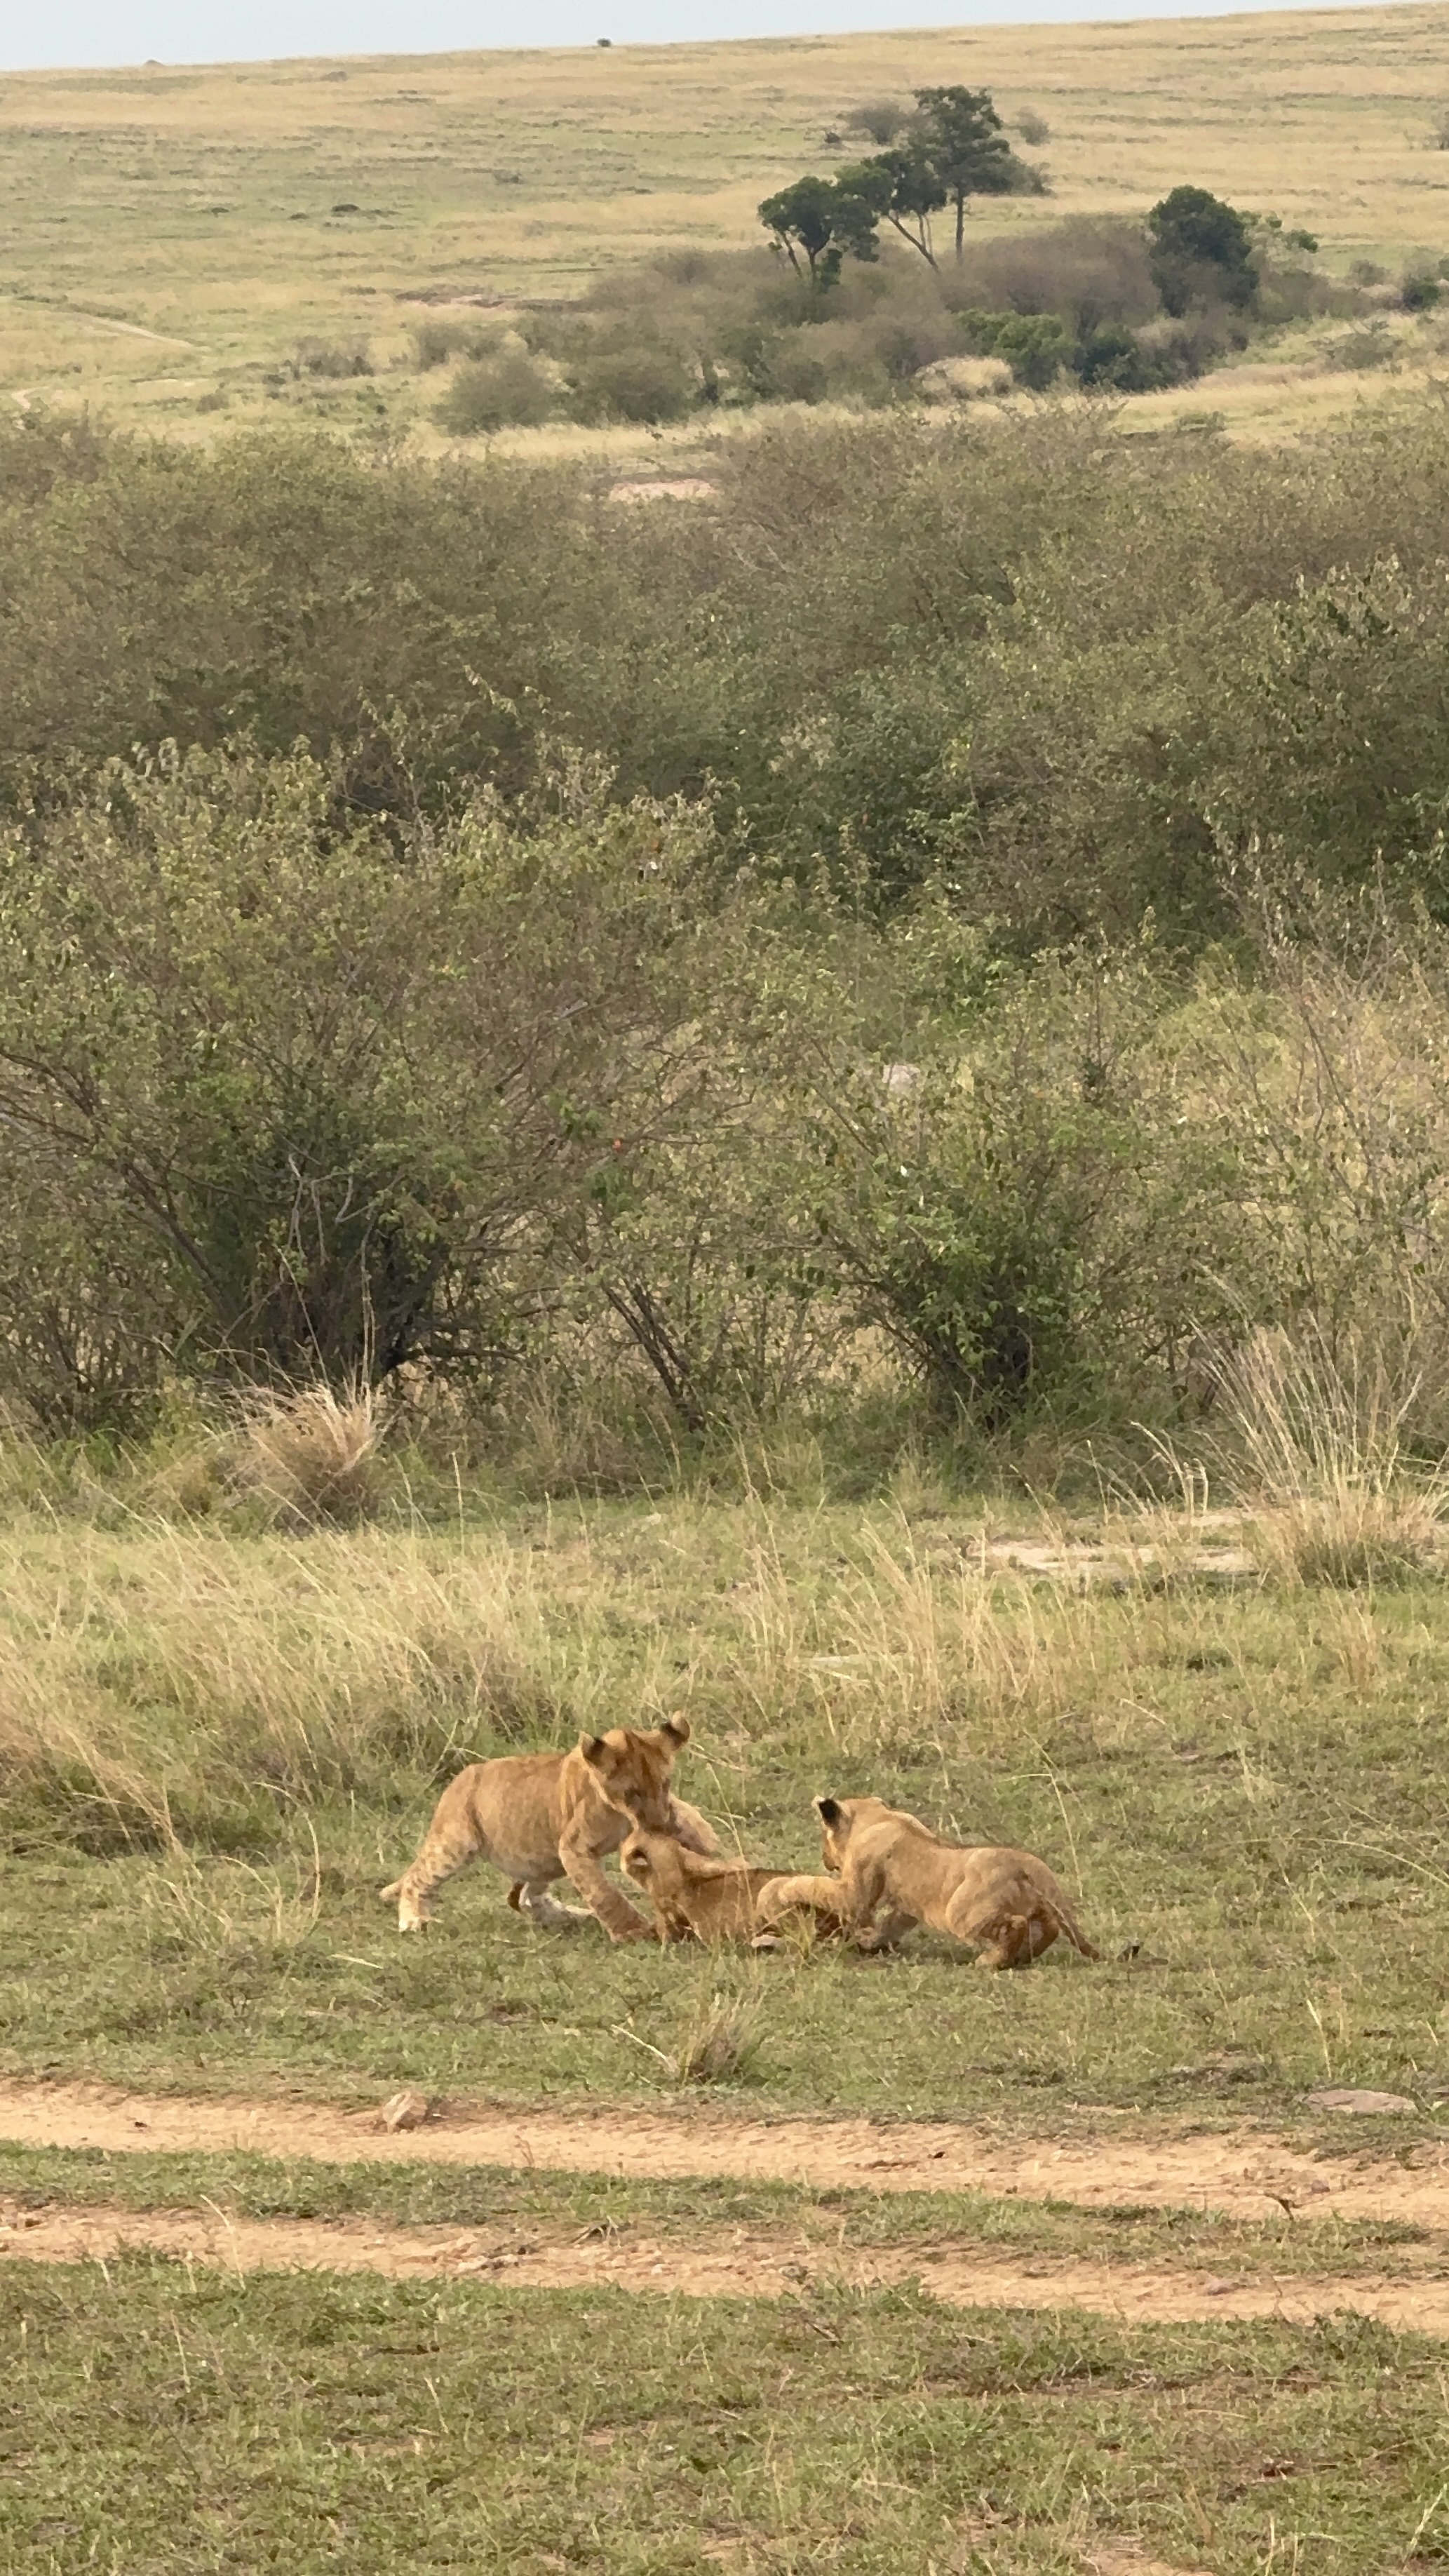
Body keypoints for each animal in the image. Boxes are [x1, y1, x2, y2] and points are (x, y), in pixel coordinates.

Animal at [380, 1717, 717, 1939]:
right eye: (632, 1793)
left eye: (665, 1784)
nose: (657, 1825)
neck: (620, 1814)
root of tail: (458, 1780)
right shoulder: (574, 1846)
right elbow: (603, 1892)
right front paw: (632, 1930)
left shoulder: (674, 1813)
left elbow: (699, 1833)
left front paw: (716, 1862)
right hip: (455, 1842)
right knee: (417, 1878)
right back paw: (413, 1920)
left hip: (543, 1860)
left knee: (527, 1898)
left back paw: (573, 1916)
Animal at [814, 1794, 1098, 1969]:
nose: (824, 1858)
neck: (879, 1818)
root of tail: (1026, 1863)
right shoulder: (907, 1908)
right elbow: (891, 1924)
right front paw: (872, 1944)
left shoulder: (859, 1889)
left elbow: (849, 1903)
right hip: (1038, 1907)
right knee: (1049, 1927)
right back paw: (1020, 1957)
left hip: (961, 1912)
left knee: (1015, 1925)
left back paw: (991, 1961)